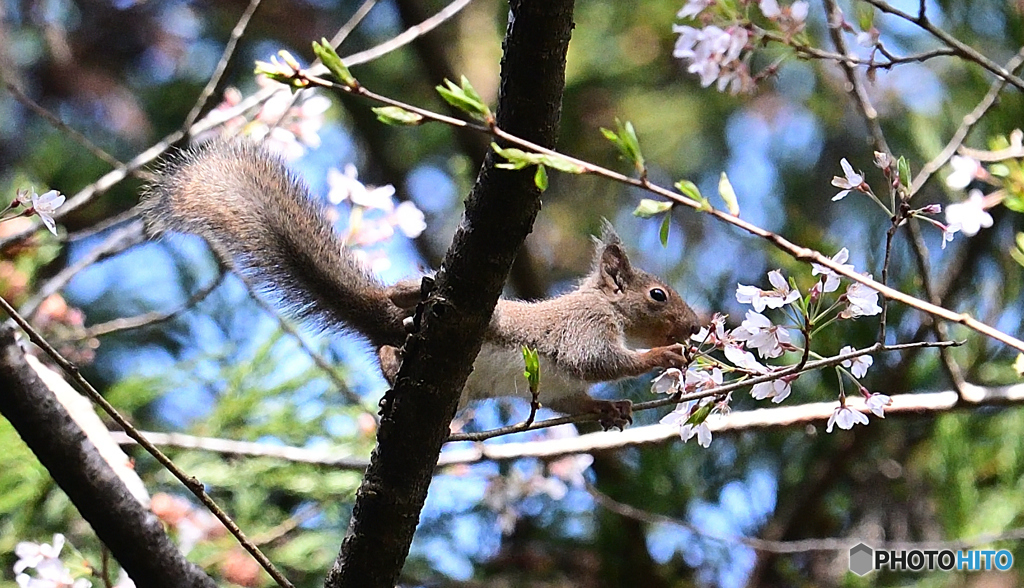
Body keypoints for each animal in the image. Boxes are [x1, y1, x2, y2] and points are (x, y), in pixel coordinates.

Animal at [140, 141, 700, 430]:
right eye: (658, 296)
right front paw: (663, 355)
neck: (605, 306)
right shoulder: (584, 328)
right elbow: (600, 362)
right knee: (395, 322)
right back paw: (404, 318)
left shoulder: (558, 387)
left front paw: (610, 408)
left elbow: (575, 398)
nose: (696, 327)